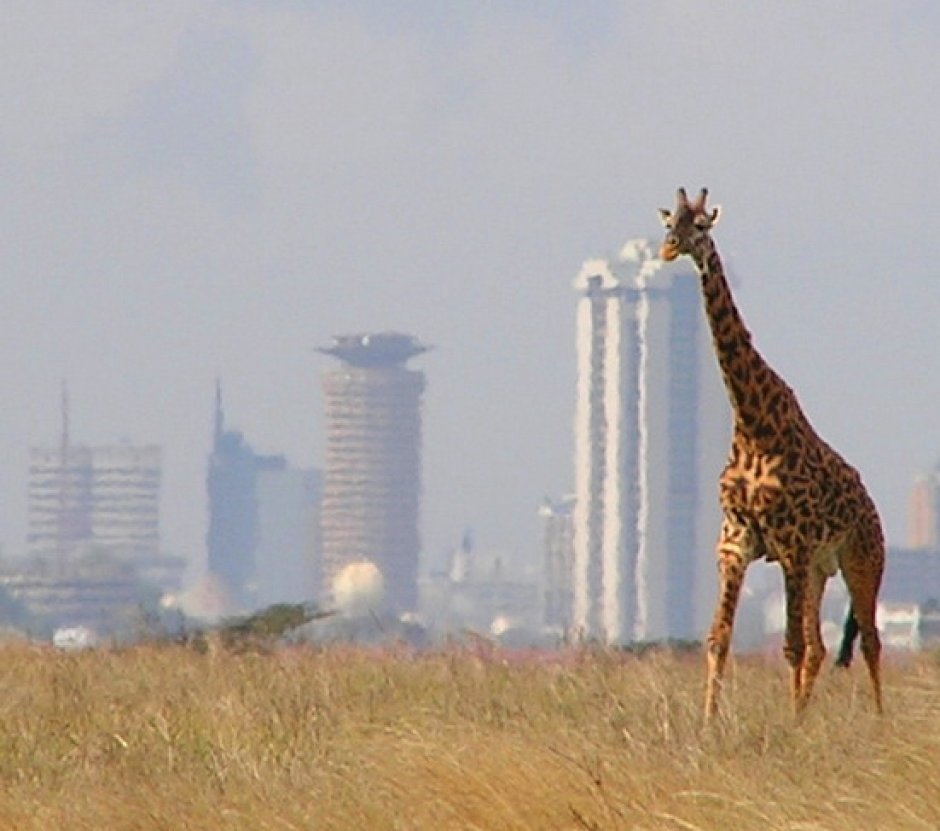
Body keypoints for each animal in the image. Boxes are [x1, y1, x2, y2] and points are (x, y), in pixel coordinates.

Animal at [658, 187, 885, 721]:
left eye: (702, 226)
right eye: (668, 223)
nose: (670, 249)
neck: (753, 425)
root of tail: (872, 506)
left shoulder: (792, 543)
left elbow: (791, 646)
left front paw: (791, 727)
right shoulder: (737, 541)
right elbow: (719, 639)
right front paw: (708, 724)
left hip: (862, 559)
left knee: (869, 641)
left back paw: (881, 723)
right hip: (821, 569)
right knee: (825, 646)